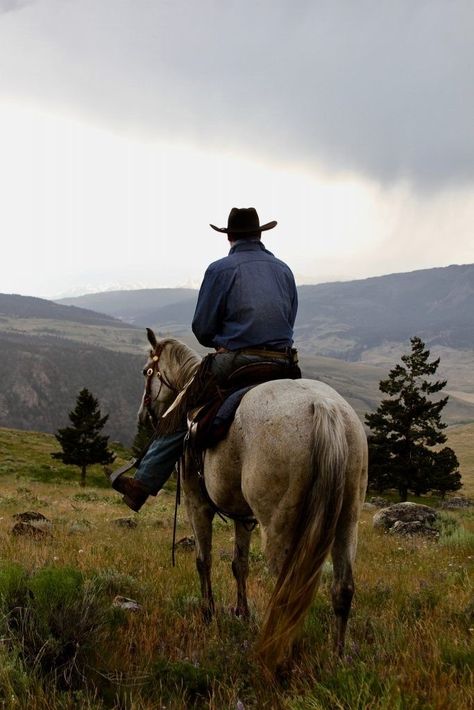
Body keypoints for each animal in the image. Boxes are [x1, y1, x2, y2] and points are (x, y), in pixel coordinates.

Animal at [137, 330, 366, 672]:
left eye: (146, 372)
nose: (143, 417)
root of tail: (323, 407)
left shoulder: (196, 503)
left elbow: (203, 560)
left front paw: (208, 613)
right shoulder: (243, 516)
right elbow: (239, 564)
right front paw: (241, 612)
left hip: (281, 527)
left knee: (289, 590)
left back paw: (276, 655)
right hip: (346, 520)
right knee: (343, 587)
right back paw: (336, 658)